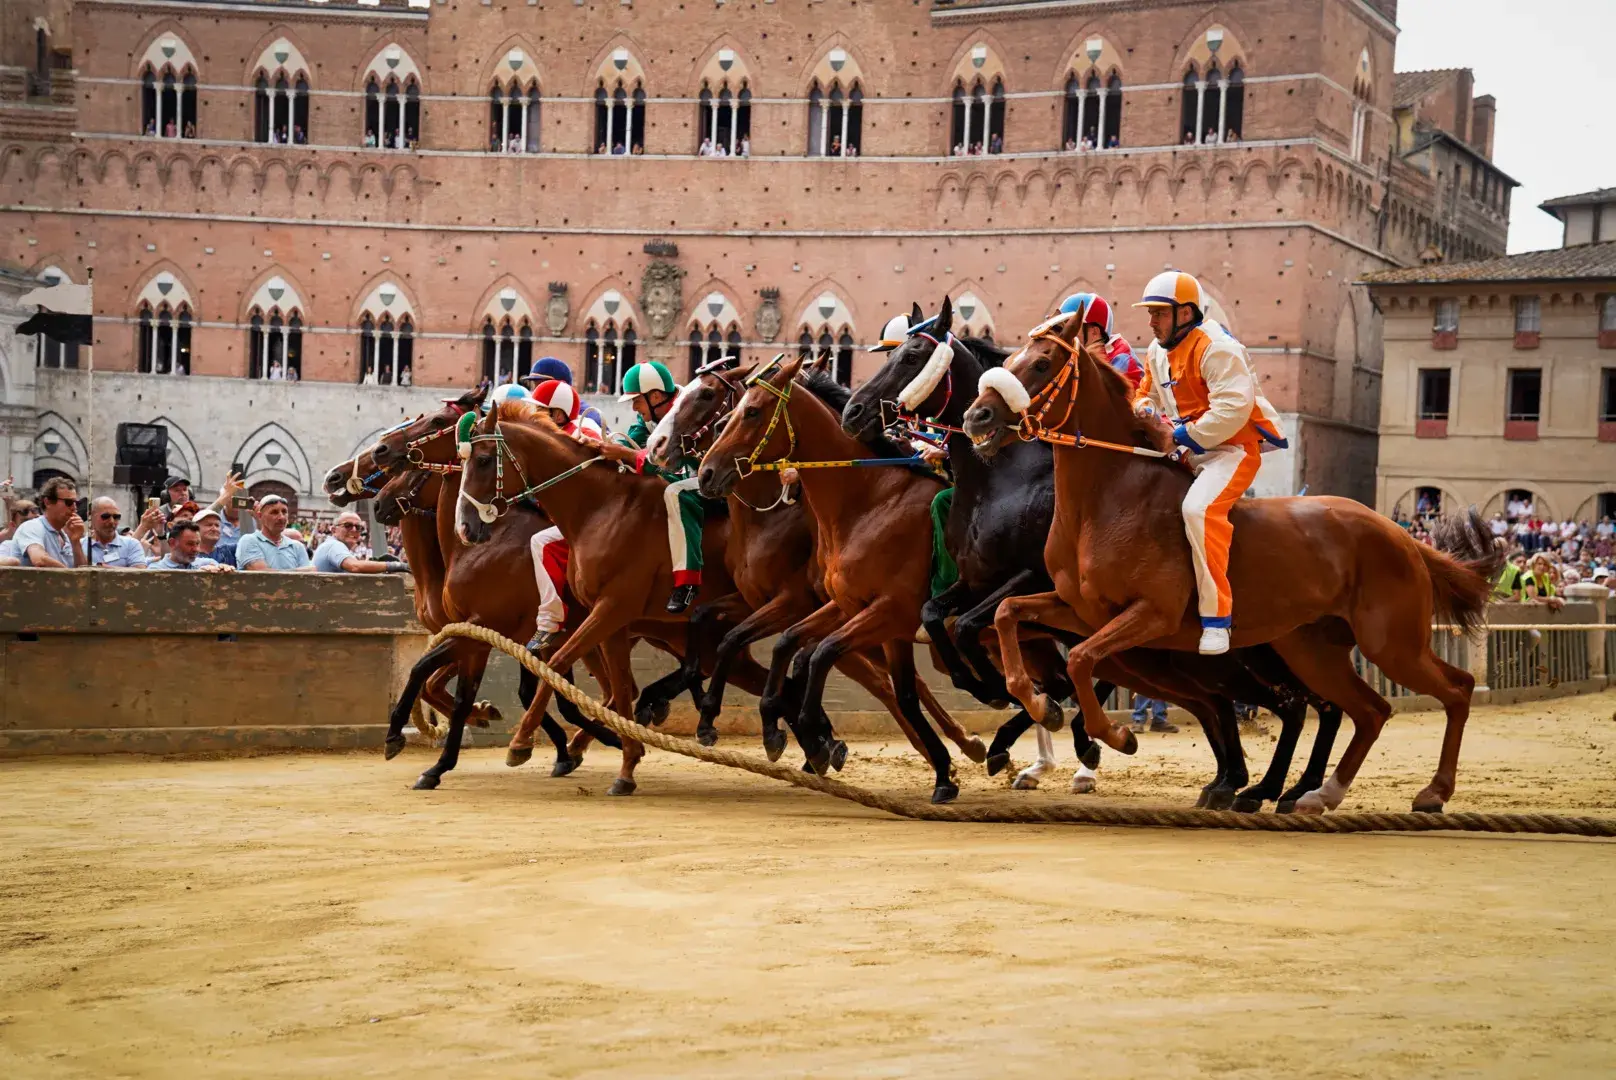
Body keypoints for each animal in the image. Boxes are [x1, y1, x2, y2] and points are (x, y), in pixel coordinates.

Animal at [643, 360, 982, 766]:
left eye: (708, 394)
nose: (656, 446)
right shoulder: (762, 600)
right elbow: (715, 626)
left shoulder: (797, 600)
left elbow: (757, 645)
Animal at [956, 307, 1499, 814]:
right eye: (1010, 358)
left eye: (1041, 363)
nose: (975, 417)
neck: (1109, 498)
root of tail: (1404, 536)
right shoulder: (1080, 608)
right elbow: (1006, 615)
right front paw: (1037, 702)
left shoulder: (1150, 614)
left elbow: (1082, 659)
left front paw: (1115, 736)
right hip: (1315, 649)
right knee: (1370, 710)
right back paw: (1319, 793)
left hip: (1391, 642)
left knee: (1456, 689)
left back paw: (1431, 790)